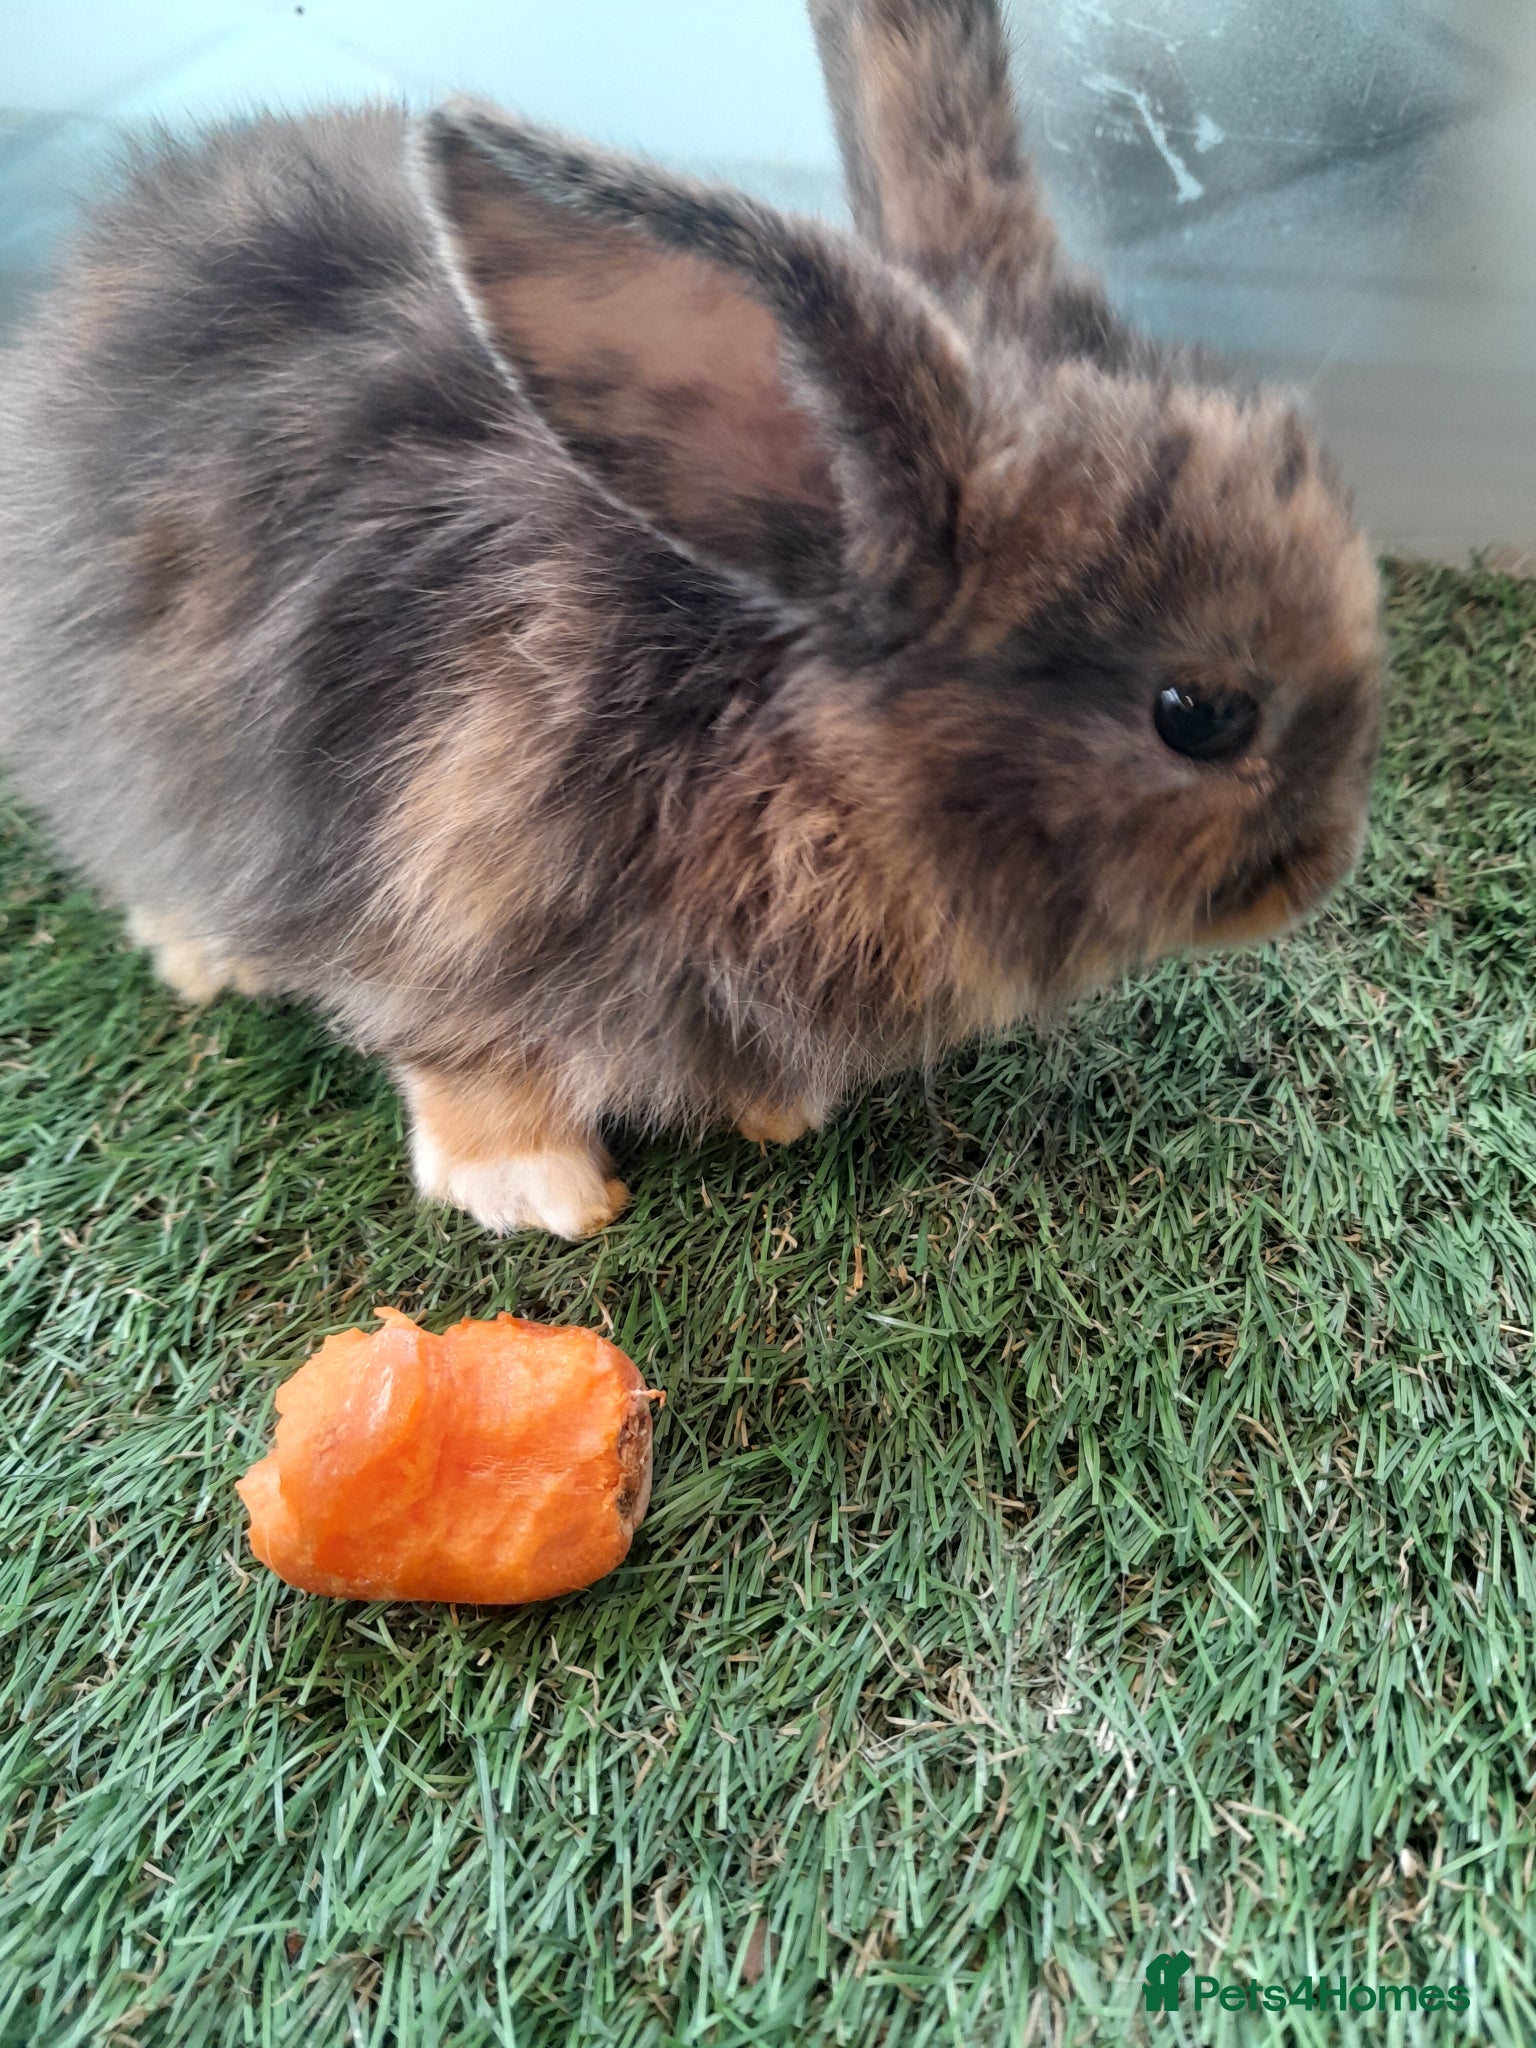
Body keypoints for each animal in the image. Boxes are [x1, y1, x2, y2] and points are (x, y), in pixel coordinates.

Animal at [0, 0, 1382, 1240]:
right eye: (1199, 714)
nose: (1324, 863)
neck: (793, 752)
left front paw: (772, 1112)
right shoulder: (441, 898)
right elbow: (464, 1063)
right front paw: (541, 1194)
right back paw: (207, 958)